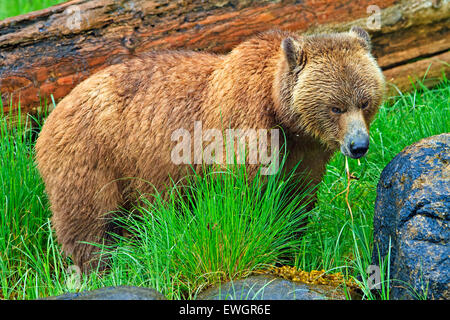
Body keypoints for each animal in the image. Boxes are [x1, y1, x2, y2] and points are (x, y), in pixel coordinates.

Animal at [36, 26, 384, 270]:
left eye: (365, 101)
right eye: (336, 107)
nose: (358, 145)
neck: (284, 115)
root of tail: (52, 115)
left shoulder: (306, 153)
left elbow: (296, 199)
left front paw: (289, 249)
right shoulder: (245, 123)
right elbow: (245, 191)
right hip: (93, 156)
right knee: (91, 222)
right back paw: (98, 268)